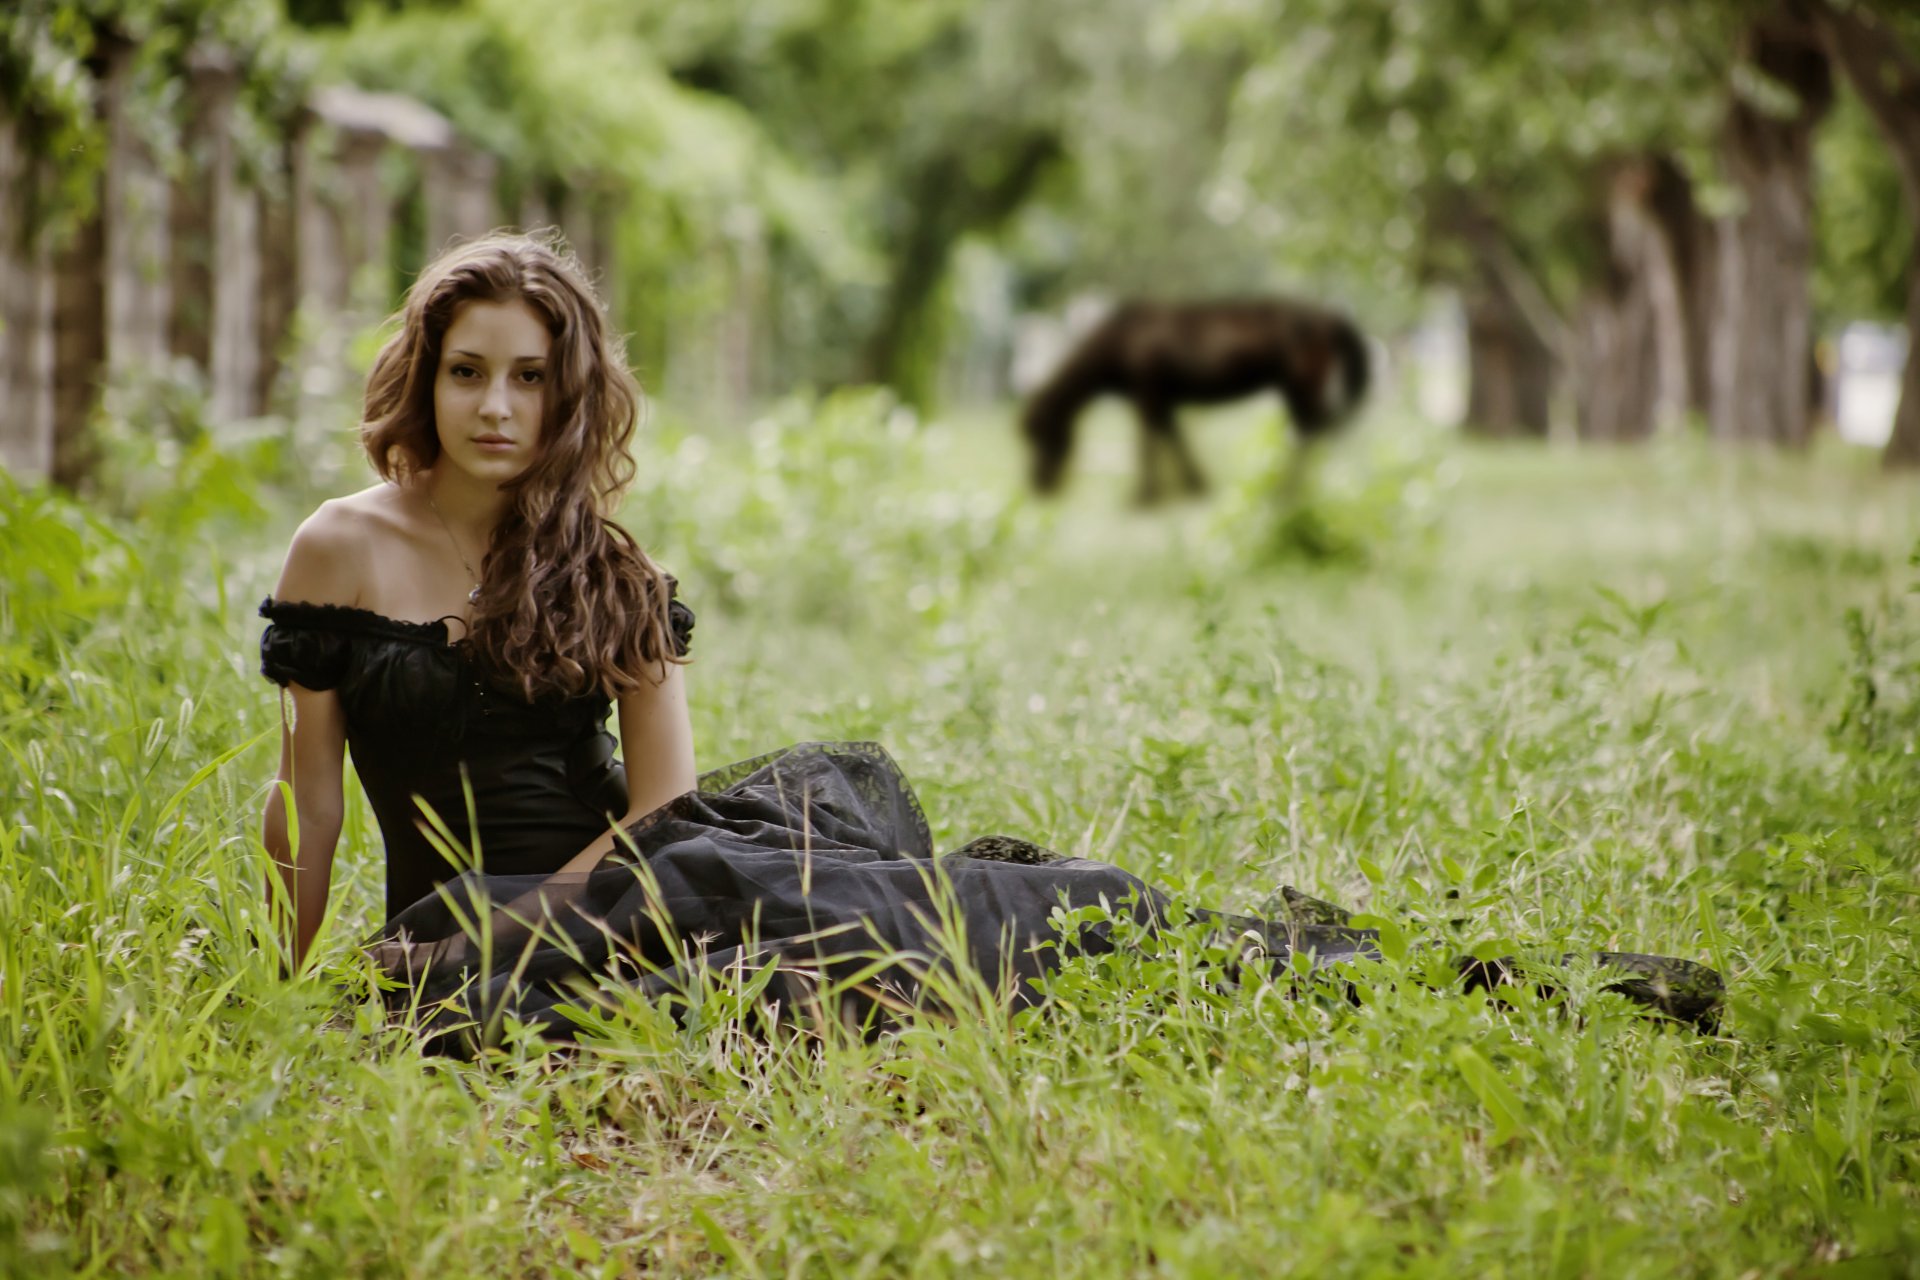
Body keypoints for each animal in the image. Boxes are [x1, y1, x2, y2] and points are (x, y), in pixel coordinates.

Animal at [1021, 299, 1367, 498]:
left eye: (1043, 434)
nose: (1038, 485)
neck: (1121, 339)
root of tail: (1327, 317)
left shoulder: (1147, 394)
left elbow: (1147, 443)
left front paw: (1141, 498)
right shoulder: (1162, 400)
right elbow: (1175, 439)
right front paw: (1197, 486)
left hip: (1302, 387)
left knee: (1315, 430)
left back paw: (1291, 488)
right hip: (1294, 390)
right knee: (1314, 430)